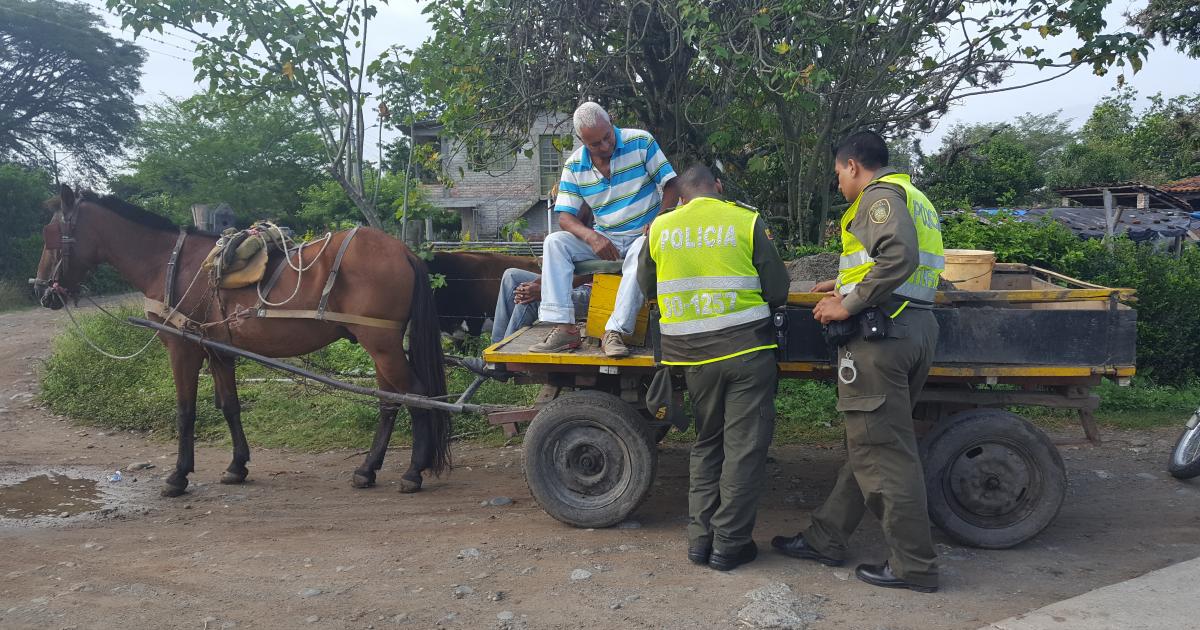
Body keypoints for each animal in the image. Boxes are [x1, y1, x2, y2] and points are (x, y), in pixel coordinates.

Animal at [36, 186, 453, 496]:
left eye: (50, 236)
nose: (41, 290)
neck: (169, 263)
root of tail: (403, 250)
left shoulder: (182, 348)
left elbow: (185, 411)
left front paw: (178, 476)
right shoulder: (218, 351)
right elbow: (230, 406)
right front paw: (237, 466)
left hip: (380, 342)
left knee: (417, 396)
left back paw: (413, 472)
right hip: (380, 344)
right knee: (389, 402)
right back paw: (367, 469)